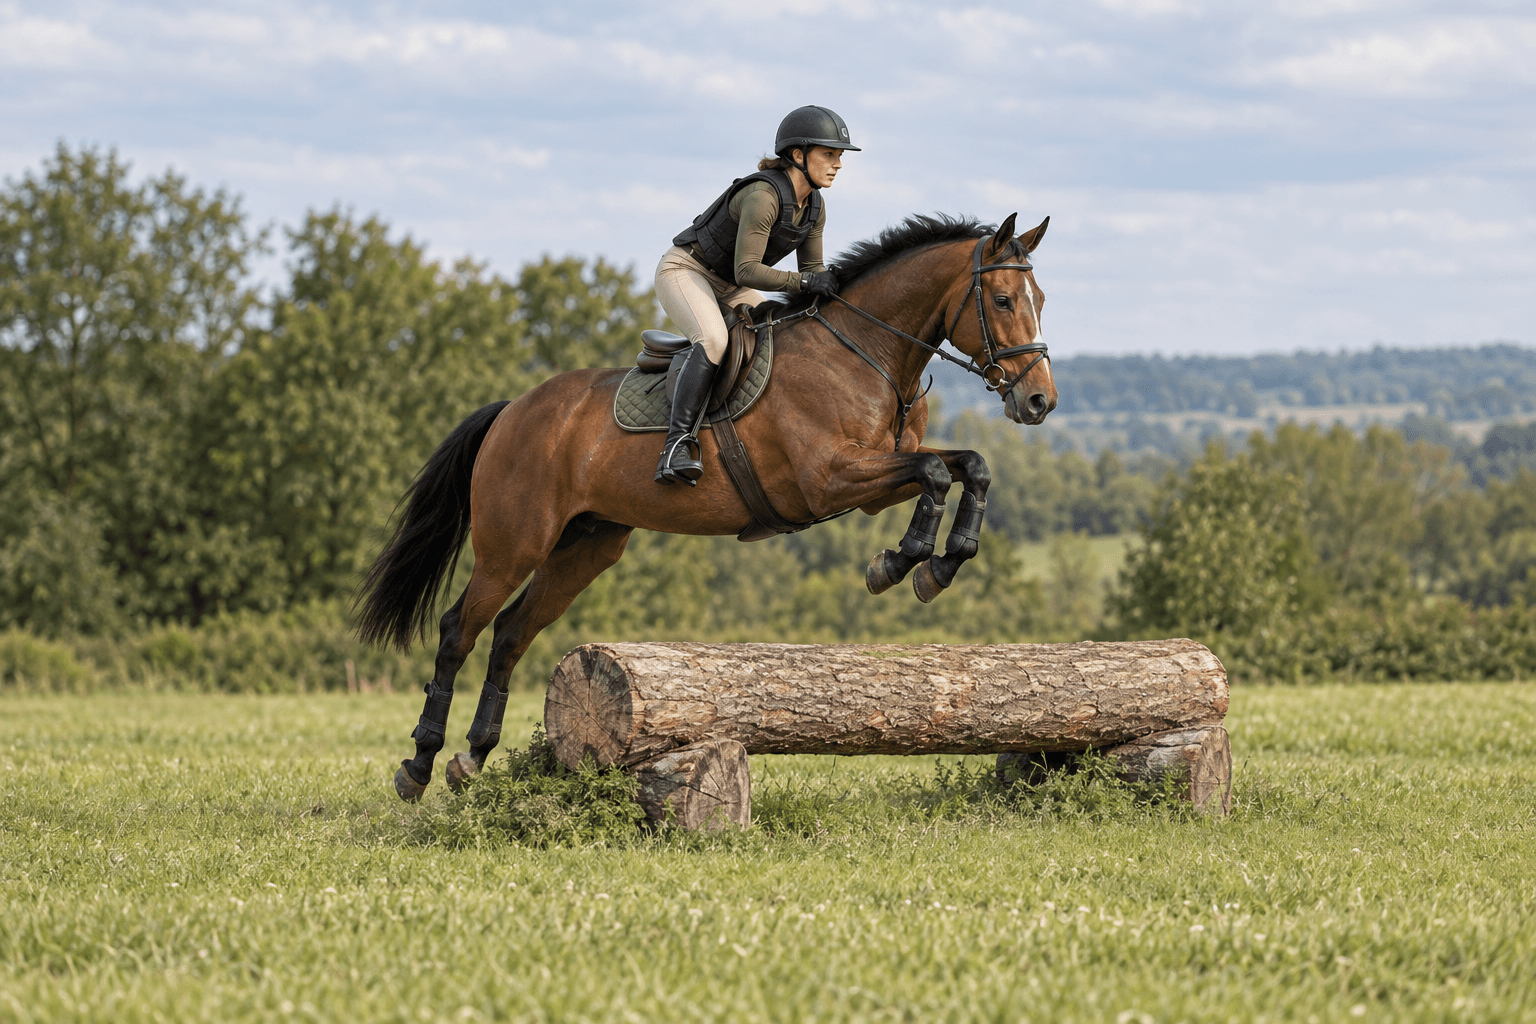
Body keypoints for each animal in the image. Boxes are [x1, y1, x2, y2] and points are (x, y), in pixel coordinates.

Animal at [356, 212, 1057, 801]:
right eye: (1002, 301)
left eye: (1041, 300)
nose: (1039, 402)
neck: (865, 353)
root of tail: (513, 410)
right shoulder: (830, 479)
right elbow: (937, 472)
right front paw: (901, 563)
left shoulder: (875, 479)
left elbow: (968, 465)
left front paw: (939, 564)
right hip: (514, 542)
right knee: (459, 630)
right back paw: (419, 765)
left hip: (585, 547)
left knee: (510, 633)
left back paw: (472, 756)